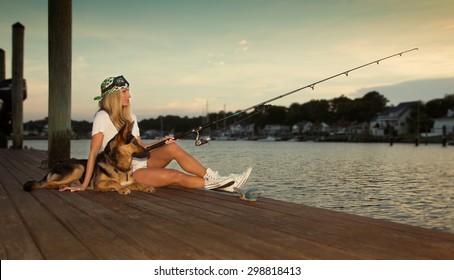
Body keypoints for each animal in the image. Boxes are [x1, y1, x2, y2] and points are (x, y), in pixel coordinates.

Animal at [23, 120, 156, 195]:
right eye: (134, 143)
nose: (148, 153)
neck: (118, 166)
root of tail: (54, 167)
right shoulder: (98, 183)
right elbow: (113, 182)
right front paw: (120, 189)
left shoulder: (129, 182)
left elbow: (138, 183)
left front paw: (146, 187)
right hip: (78, 167)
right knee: (48, 184)